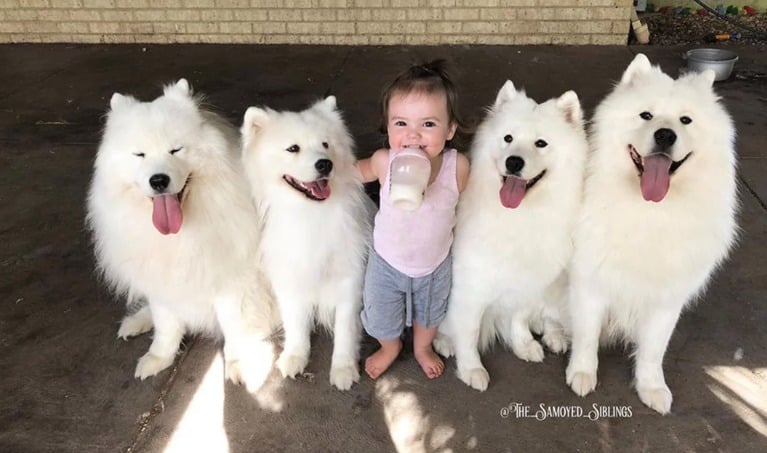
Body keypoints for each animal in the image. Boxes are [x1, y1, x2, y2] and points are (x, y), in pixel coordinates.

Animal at [86, 79, 276, 390]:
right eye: (139, 154)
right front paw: (158, 358)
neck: (182, 233)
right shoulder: (163, 283)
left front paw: (237, 365)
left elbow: (234, 329)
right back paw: (136, 322)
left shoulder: (234, 284)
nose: (158, 180)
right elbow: (166, 327)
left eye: (176, 150)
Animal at [240, 97, 372, 390]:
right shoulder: (289, 280)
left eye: (325, 144)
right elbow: (296, 326)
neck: (310, 215)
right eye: (293, 148)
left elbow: (345, 331)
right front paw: (294, 358)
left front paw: (343, 369)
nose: (325, 164)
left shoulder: (349, 280)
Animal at [436, 80, 592, 388]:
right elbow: (469, 332)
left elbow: (519, 317)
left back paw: (554, 335)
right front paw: (471, 368)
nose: (514, 162)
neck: (519, 216)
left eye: (541, 143)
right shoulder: (471, 287)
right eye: (508, 138)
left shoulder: (528, 281)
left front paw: (524, 344)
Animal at [568, 53, 740, 414]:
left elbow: (653, 350)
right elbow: (587, 337)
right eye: (646, 115)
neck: (650, 210)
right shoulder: (590, 283)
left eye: (686, 120)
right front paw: (582, 374)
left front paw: (652, 388)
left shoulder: (667, 298)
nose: (664, 135)